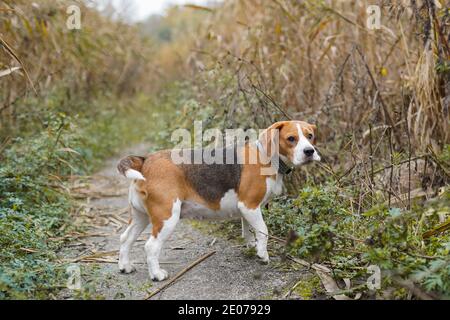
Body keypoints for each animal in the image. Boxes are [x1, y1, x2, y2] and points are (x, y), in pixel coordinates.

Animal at [116, 120, 320, 280]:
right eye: (291, 138)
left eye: (310, 136)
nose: (309, 151)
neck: (268, 157)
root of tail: (145, 160)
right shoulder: (250, 206)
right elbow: (263, 230)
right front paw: (262, 254)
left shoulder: (247, 210)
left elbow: (248, 230)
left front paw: (252, 246)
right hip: (167, 217)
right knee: (151, 246)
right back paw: (157, 274)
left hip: (140, 216)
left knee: (125, 238)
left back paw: (125, 266)